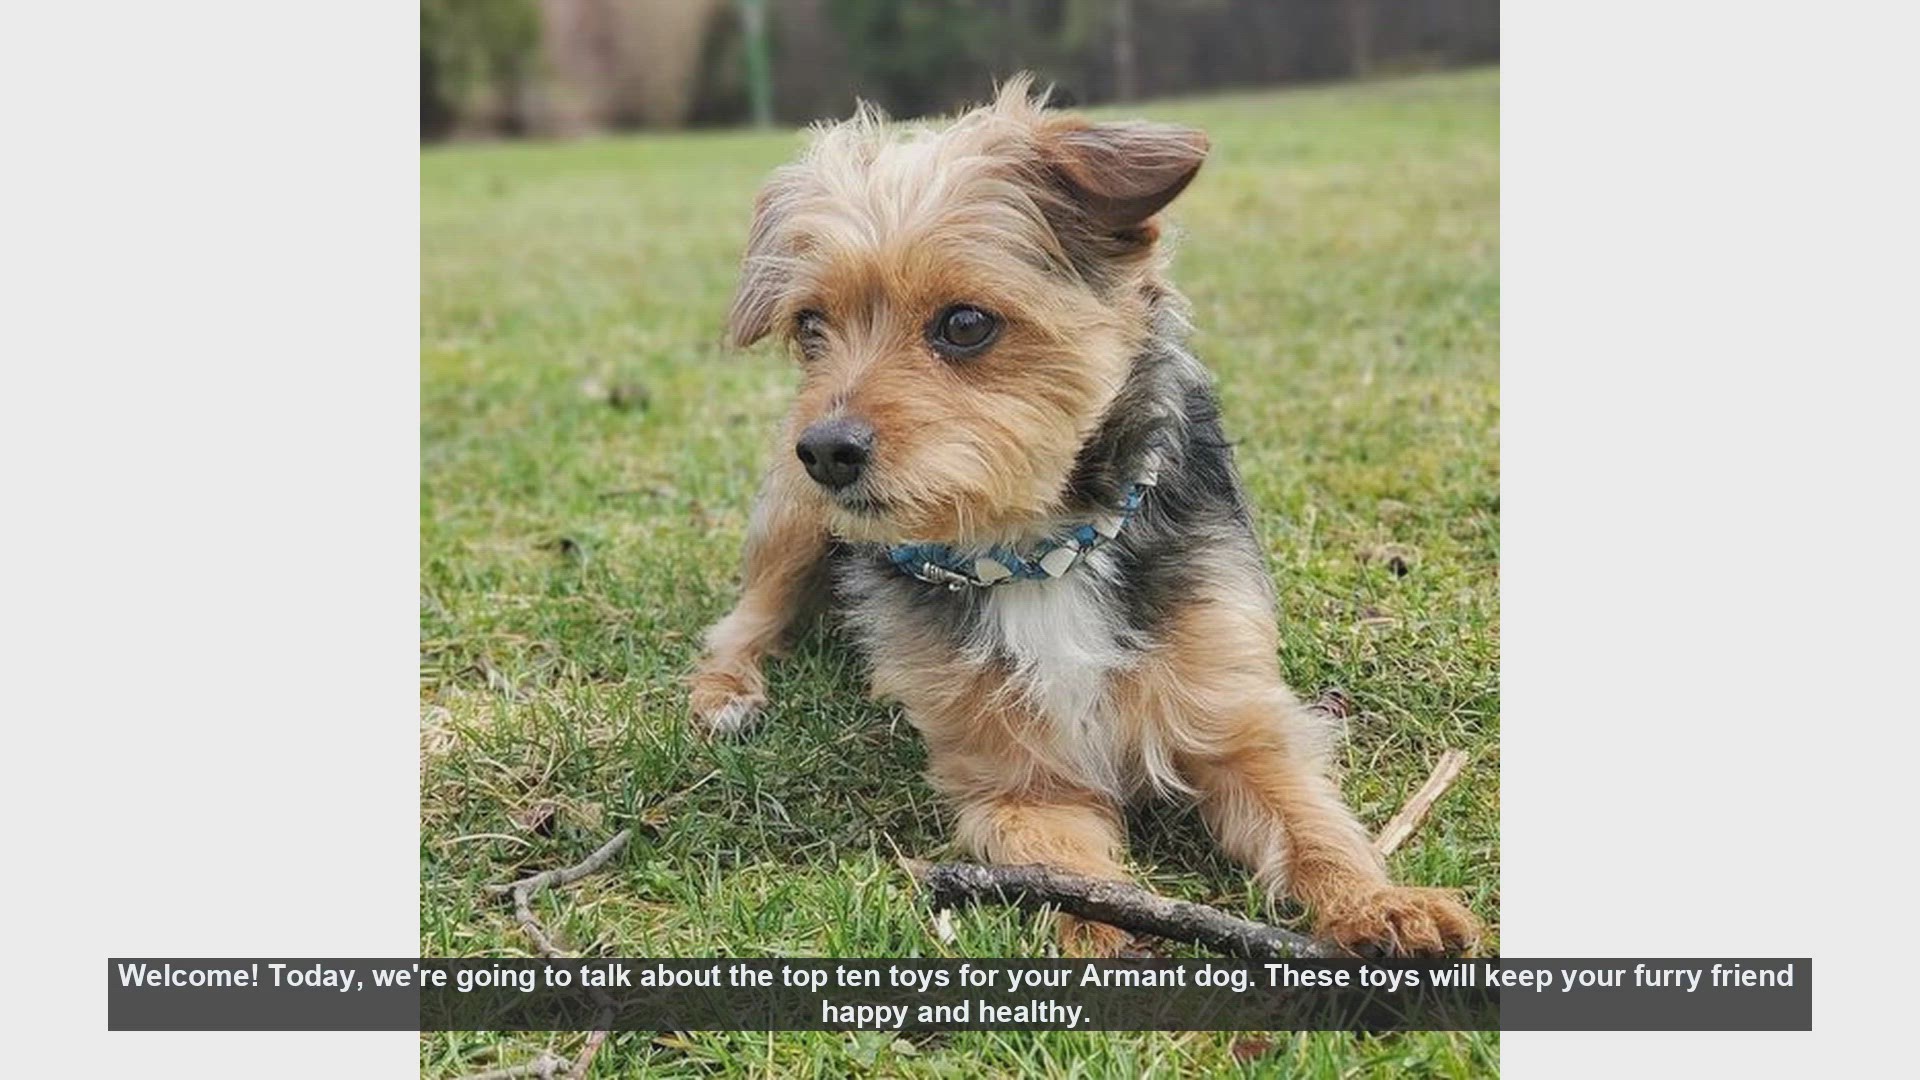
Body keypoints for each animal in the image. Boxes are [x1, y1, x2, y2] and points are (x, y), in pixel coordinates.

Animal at [688, 77, 1479, 957]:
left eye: (966, 324)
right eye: (809, 327)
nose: (824, 450)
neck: (1036, 551)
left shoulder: (1235, 721)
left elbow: (1312, 825)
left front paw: (1379, 903)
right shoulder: (1020, 784)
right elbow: (1068, 866)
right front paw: (1109, 931)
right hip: (795, 519)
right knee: (744, 621)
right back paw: (724, 693)